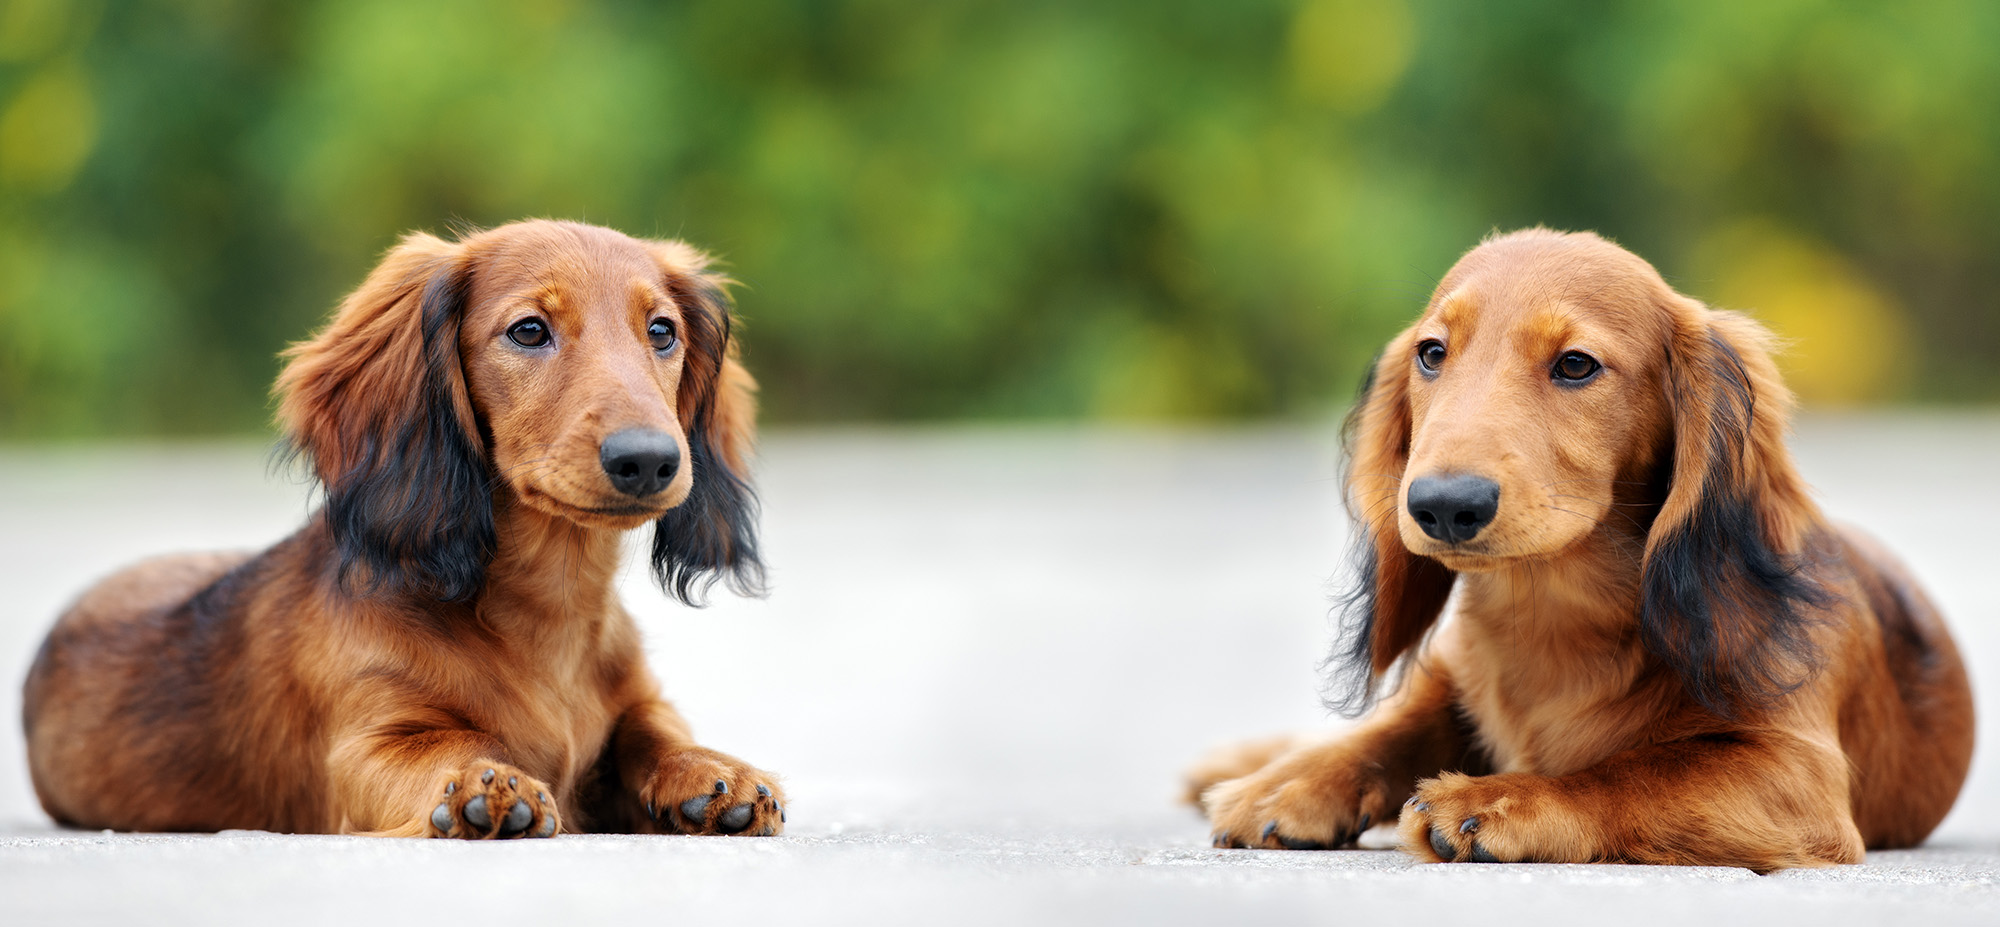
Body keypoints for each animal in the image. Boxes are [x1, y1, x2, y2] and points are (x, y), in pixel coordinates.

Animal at [33, 218, 780, 839]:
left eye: (662, 331)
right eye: (528, 330)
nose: (649, 460)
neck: (548, 612)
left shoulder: (639, 700)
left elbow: (655, 730)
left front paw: (710, 771)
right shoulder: (363, 747)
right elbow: (443, 746)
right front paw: (483, 783)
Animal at [1184, 226, 1968, 871]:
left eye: (1576, 365)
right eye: (1432, 354)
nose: (1442, 505)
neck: (1552, 615)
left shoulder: (1796, 772)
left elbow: (1629, 774)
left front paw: (1498, 799)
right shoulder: (1452, 686)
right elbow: (1387, 733)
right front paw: (1289, 782)